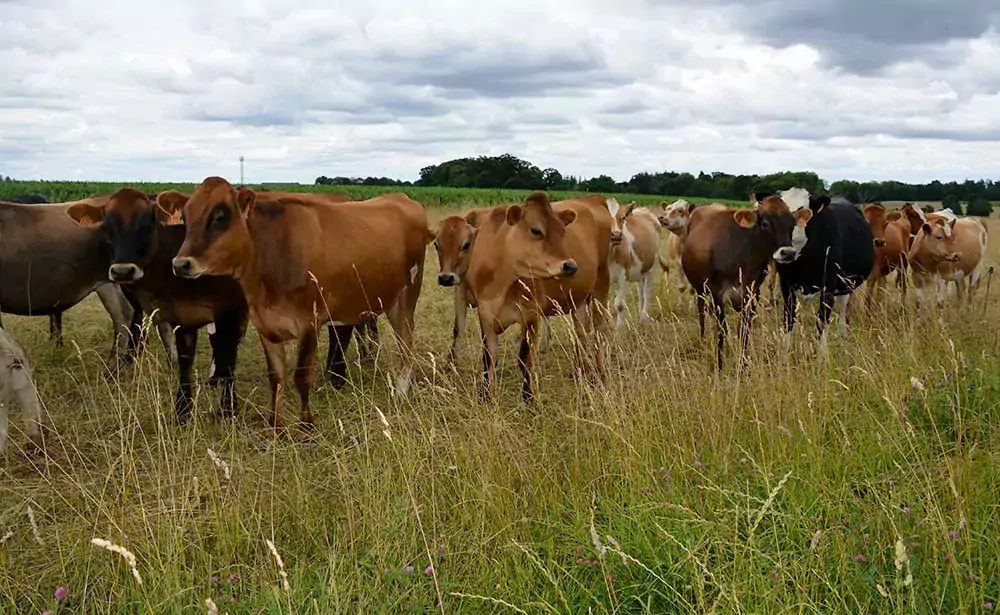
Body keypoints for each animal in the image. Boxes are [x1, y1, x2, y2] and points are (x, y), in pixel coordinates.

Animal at [66, 185, 250, 422]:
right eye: (106, 227)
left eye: (147, 224)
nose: (123, 271)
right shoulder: (183, 315)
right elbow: (185, 358)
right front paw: (182, 412)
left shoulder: (229, 310)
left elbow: (228, 356)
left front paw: (228, 410)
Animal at [460, 194, 608, 404]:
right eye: (536, 230)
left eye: (562, 231)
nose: (570, 266)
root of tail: (592, 198)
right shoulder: (485, 315)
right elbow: (488, 358)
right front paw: (486, 396)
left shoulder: (531, 314)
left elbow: (525, 358)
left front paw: (528, 399)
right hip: (578, 299)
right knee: (581, 332)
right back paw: (578, 372)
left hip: (601, 286)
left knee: (600, 332)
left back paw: (600, 376)